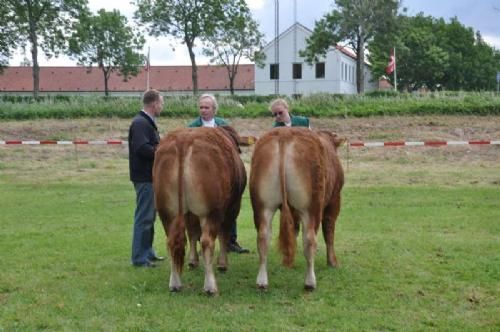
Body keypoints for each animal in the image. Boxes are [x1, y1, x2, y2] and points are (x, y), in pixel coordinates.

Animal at [152, 126, 246, 294]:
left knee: (172, 241)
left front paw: (192, 261)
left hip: (167, 211)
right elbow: (224, 234)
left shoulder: (190, 213)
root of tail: (183, 140)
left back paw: (175, 283)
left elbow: (192, 233)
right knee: (207, 241)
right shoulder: (233, 207)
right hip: (210, 211)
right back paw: (210, 286)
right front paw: (222, 264)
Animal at [249, 127, 344, 290]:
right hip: (311, 207)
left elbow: (293, 231)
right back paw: (310, 282)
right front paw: (333, 262)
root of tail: (285, 133)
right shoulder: (334, 200)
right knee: (310, 239)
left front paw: (288, 261)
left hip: (263, 206)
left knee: (263, 237)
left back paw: (262, 282)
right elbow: (329, 231)